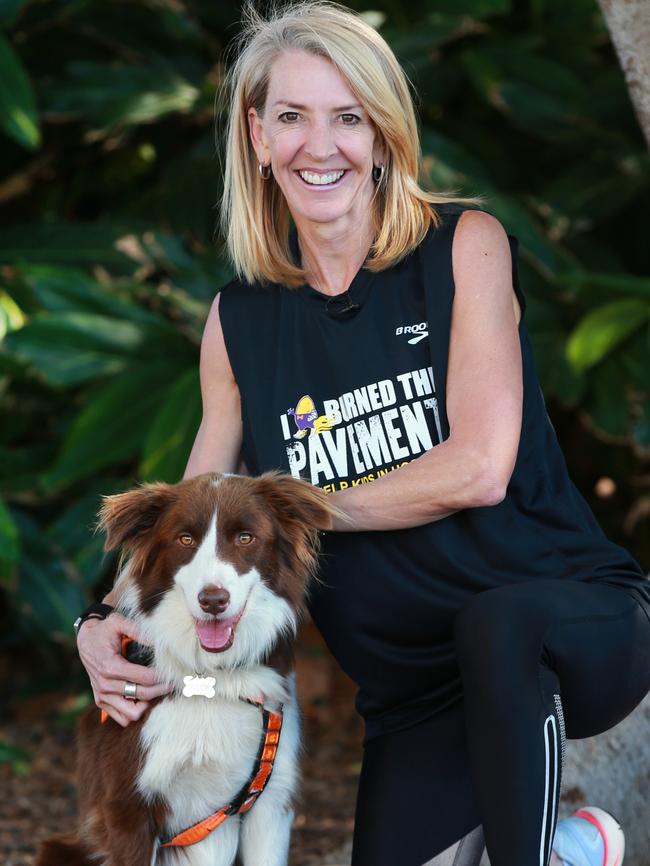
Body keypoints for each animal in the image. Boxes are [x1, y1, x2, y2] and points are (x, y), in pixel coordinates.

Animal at [36, 472, 334, 864]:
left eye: (245, 537)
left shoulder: (270, 803)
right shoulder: (129, 809)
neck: (210, 677)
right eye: (185, 539)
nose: (213, 600)